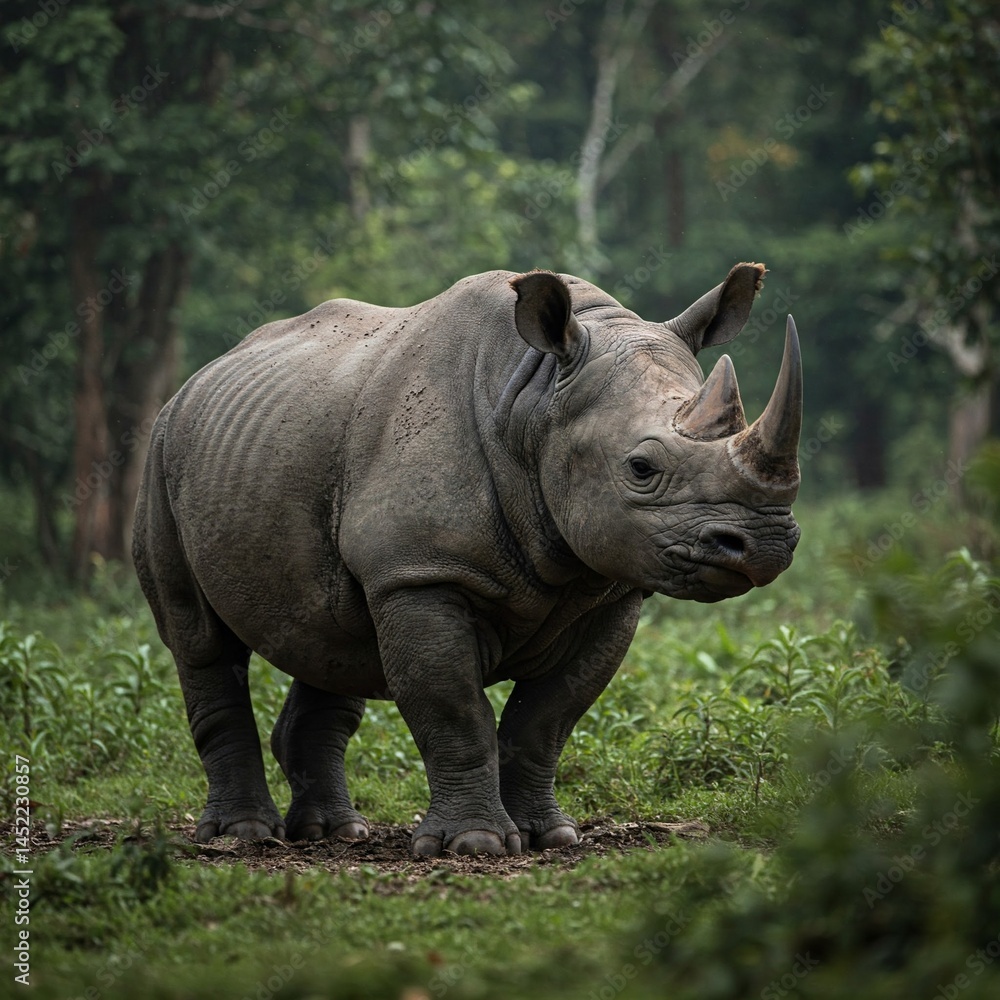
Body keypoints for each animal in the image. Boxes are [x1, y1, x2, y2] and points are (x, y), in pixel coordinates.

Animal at [132, 262, 801, 857]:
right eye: (641, 468)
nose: (763, 543)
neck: (536, 400)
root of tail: (196, 381)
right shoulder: (420, 573)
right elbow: (454, 709)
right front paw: (474, 845)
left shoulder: (611, 590)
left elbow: (546, 720)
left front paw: (550, 838)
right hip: (162, 456)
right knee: (199, 639)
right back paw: (243, 836)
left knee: (329, 640)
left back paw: (334, 834)